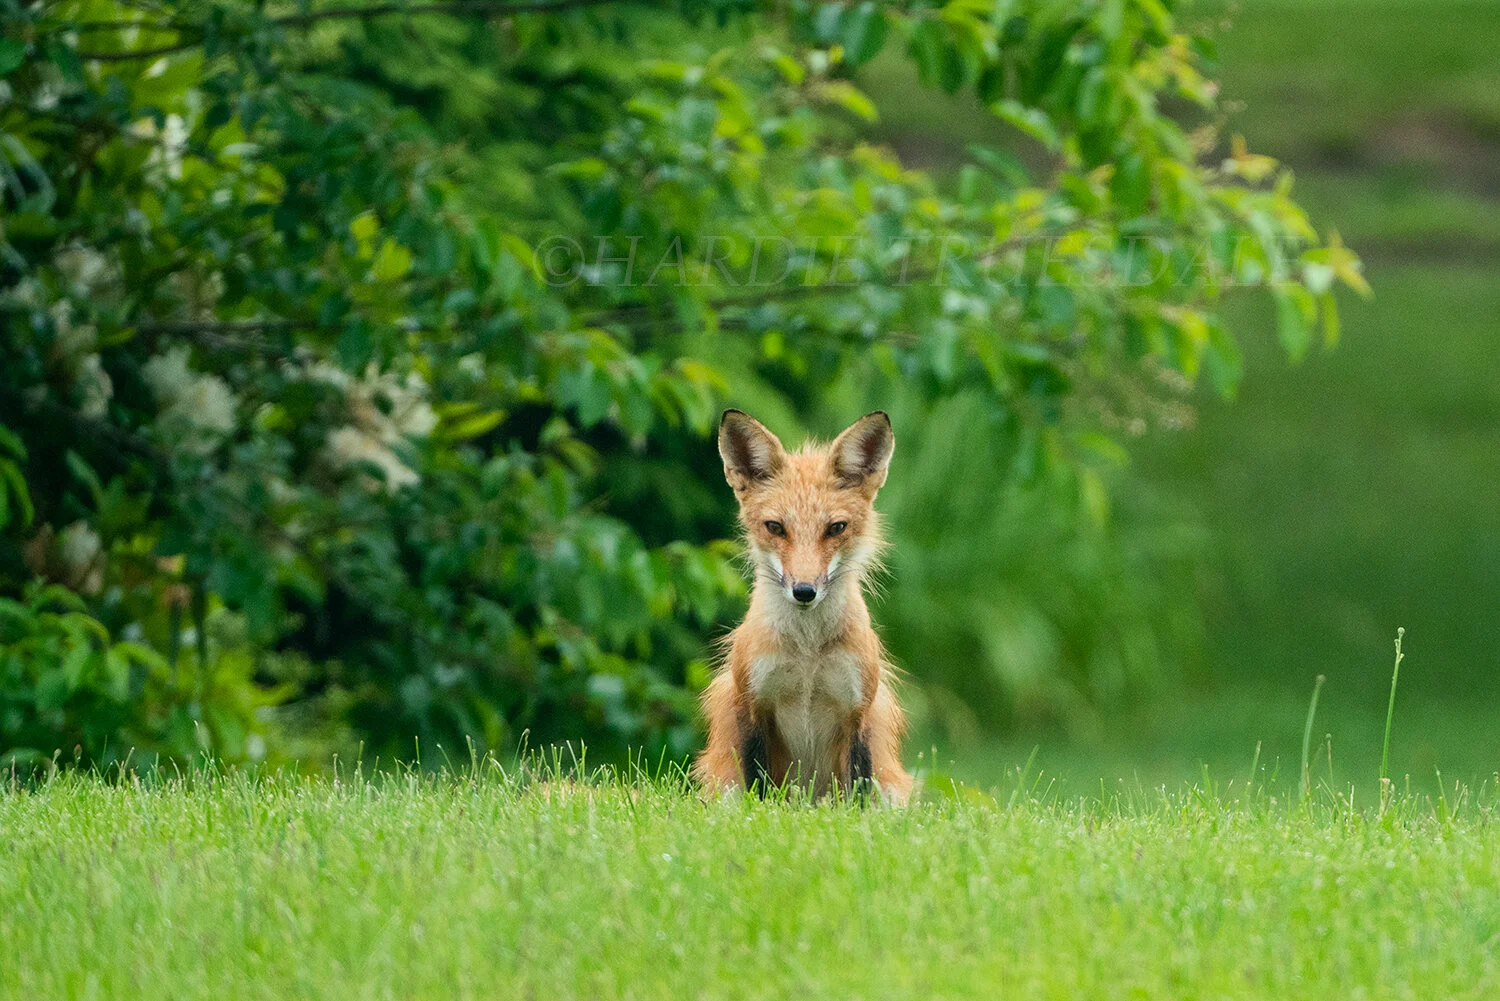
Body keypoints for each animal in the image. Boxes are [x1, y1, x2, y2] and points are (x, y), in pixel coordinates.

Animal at [693, 408, 912, 804]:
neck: (808, 652)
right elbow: (759, 789)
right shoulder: (752, 705)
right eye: (775, 527)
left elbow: (856, 795)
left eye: (836, 528)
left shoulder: (858, 712)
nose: (805, 591)